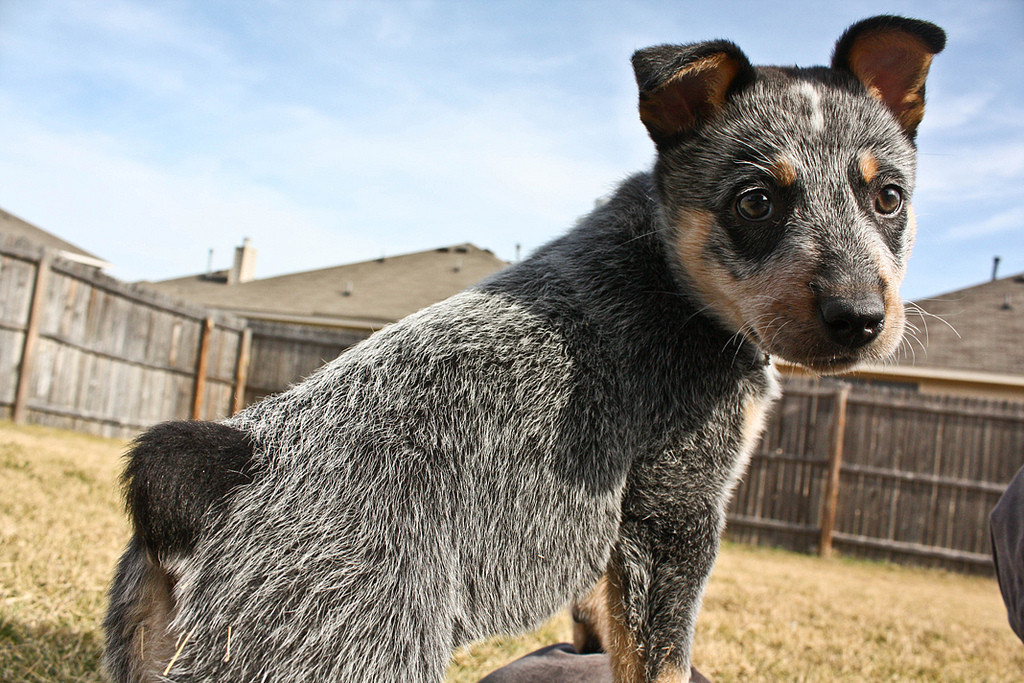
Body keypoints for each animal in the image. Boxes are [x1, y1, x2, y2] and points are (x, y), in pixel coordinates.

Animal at [101, 15, 942, 683]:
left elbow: (603, 619)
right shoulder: (675, 509)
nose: (860, 317)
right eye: (757, 201)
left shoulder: (614, 532)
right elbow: (661, 657)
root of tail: (216, 465)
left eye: (887, 197)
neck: (671, 270)